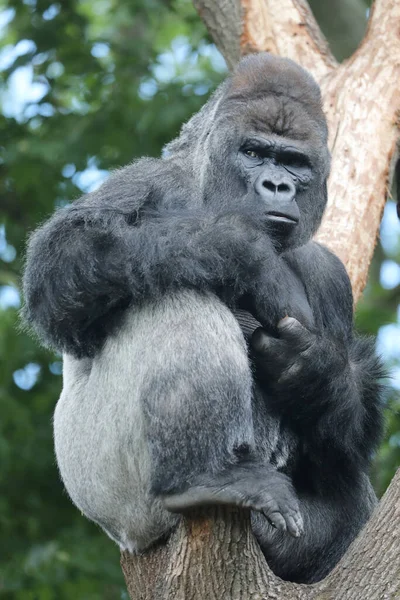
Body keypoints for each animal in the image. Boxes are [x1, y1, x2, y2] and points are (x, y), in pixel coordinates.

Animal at [22, 54, 384, 584]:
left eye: (294, 163)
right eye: (254, 152)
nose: (277, 185)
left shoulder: (330, 274)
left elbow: (339, 444)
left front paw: (312, 370)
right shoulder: (150, 178)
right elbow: (64, 258)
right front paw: (246, 253)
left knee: (348, 491)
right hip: (111, 499)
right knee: (175, 292)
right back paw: (198, 479)